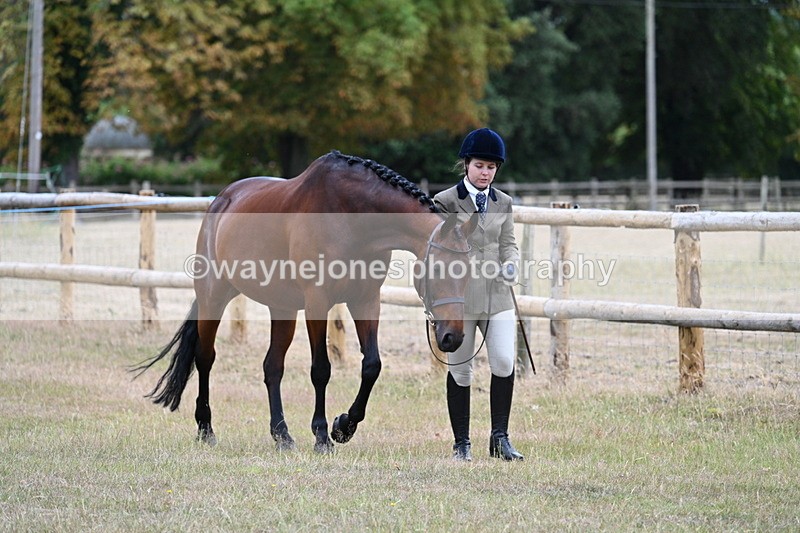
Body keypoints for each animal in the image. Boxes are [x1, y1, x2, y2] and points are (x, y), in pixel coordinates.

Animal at [134, 150, 479, 453]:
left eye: (469, 272)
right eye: (438, 269)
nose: (453, 336)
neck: (350, 217)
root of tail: (220, 201)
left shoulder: (366, 300)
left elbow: (372, 366)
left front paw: (344, 426)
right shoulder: (317, 302)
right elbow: (321, 370)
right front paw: (323, 435)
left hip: (282, 308)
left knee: (272, 366)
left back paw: (282, 435)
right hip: (213, 297)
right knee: (205, 358)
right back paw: (206, 429)